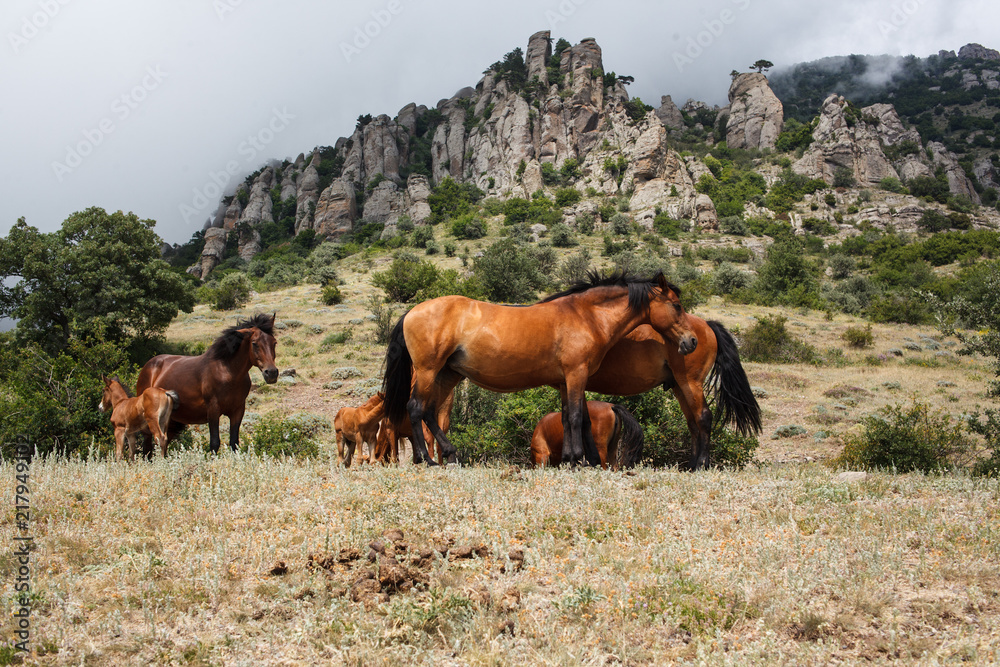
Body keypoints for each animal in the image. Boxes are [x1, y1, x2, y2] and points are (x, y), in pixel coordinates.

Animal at [136, 313, 278, 454]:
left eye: (274, 342)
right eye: (254, 343)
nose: (271, 373)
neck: (227, 372)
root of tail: (149, 365)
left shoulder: (237, 411)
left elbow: (234, 443)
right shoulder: (213, 410)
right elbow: (215, 443)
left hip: (171, 421)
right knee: (148, 446)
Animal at [383, 271, 696, 467]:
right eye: (677, 305)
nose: (691, 341)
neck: (586, 316)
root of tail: (412, 312)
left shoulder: (567, 380)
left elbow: (573, 418)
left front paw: (576, 460)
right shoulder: (576, 374)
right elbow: (574, 418)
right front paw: (579, 459)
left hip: (448, 374)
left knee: (429, 411)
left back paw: (450, 454)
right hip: (428, 370)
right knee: (415, 408)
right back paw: (427, 459)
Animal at [585, 317, 761, 470]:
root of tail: (706, 324)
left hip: (691, 383)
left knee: (704, 417)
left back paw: (701, 465)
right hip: (680, 387)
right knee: (693, 423)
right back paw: (691, 465)